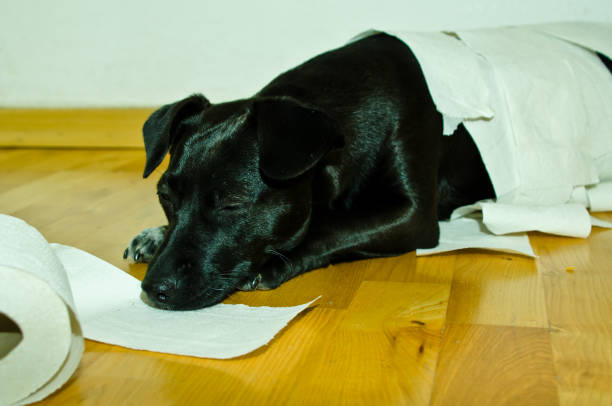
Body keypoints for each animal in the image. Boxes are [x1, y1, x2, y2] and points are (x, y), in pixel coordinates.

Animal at [125, 33, 498, 310]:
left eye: (232, 203)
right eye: (164, 197)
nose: (153, 289)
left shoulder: (413, 215)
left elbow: (329, 227)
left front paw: (272, 262)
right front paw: (157, 233)